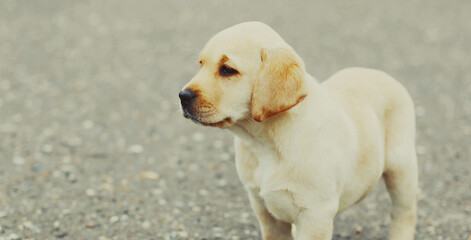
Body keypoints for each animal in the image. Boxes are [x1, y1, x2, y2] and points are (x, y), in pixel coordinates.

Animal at [179, 21, 418, 239]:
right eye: (200, 64)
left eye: (228, 70)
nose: (183, 96)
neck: (265, 142)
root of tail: (378, 73)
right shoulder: (263, 208)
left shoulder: (315, 213)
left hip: (401, 169)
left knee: (404, 213)